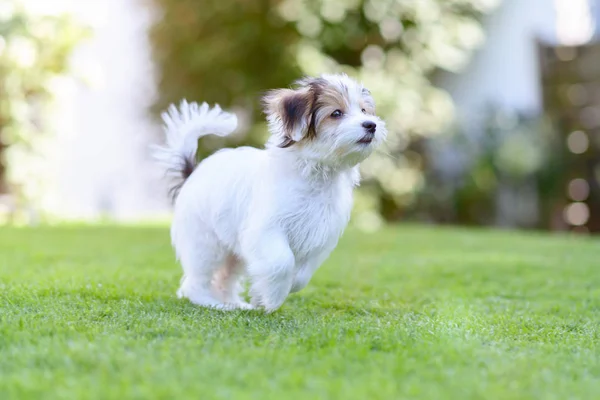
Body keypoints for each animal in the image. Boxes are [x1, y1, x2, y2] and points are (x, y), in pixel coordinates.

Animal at [152, 75, 386, 312]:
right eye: (336, 113)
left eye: (364, 110)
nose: (371, 125)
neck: (316, 171)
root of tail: (192, 173)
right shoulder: (266, 229)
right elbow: (281, 261)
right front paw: (273, 297)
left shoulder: (319, 235)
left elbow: (302, 274)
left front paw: (263, 294)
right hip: (205, 243)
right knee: (196, 280)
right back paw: (212, 303)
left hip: (233, 251)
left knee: (225, 277)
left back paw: (235, 303)